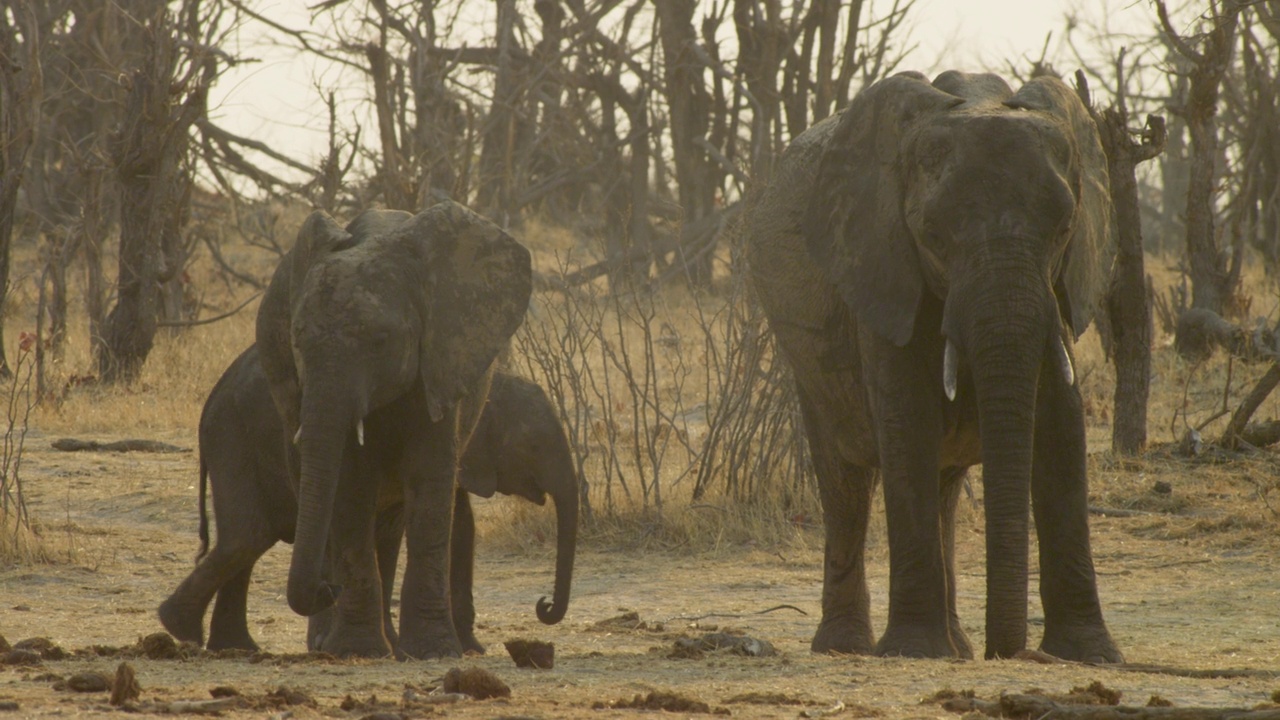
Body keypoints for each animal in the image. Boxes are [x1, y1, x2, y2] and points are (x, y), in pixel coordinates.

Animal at [156, 345, 581, 653]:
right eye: (534, 446)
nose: (543, 605)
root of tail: (211, 398)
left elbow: (408, 530)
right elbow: (457, 529)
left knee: (249, 540)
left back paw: (232, 645)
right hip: (232, 439)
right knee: (247, 535)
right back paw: (187, 630)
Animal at [257, 199, 532, 655]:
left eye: (380, 341)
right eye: (297, 340)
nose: (326, 588)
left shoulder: (441, 359)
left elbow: (429, 481)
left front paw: (434, 651)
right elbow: (349, 489)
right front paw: (356, 650)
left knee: (390, 522)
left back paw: (391, 643)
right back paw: (332, 642)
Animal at [747, 70, 1126, 661]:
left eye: (1064, 230)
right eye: (932, 236)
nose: (1007, 652)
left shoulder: (1061, 290)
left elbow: (1062, 427)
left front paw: (1089, 654)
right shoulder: (881, 267)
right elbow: (907, 424)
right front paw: (913, 651)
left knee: (944, 485)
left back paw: (958, 647)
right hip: (805, 356)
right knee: (844, 480)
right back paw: (847, 647)